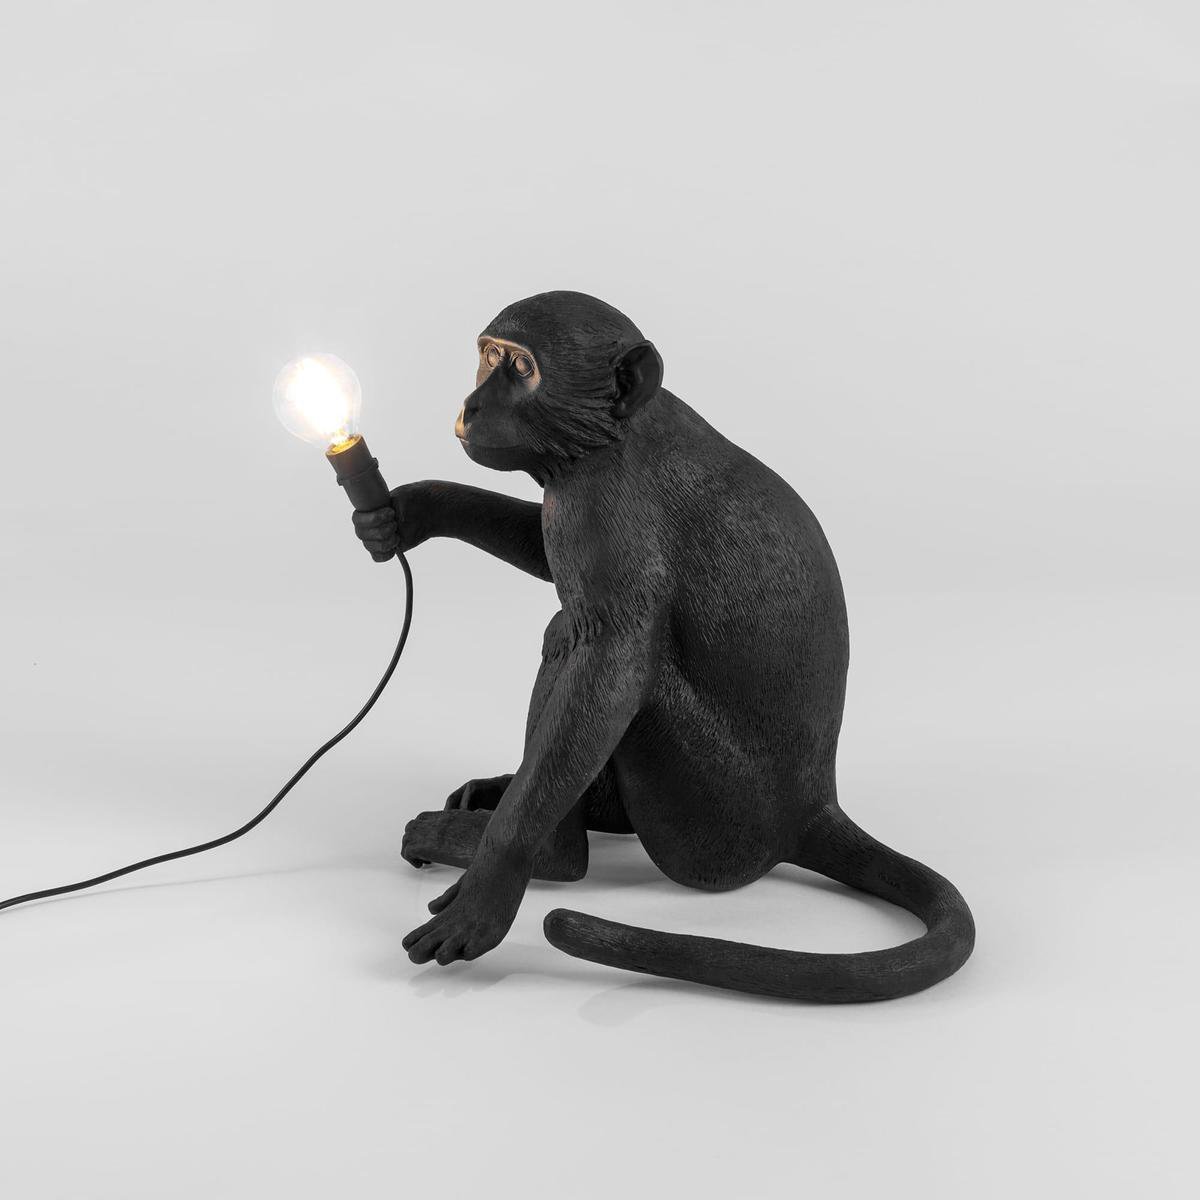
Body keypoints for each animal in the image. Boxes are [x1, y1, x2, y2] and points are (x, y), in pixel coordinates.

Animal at [352, 291, 974, 1002]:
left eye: (521, 367)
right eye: (487, 357)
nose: (471, 404)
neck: (612, 435)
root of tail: (811, 809)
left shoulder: (602, 508)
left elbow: (612, 663)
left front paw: (494, 881)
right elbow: (543, 553)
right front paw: (411, 509)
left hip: (707, 826)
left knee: (570, 635)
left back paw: (545, 851)